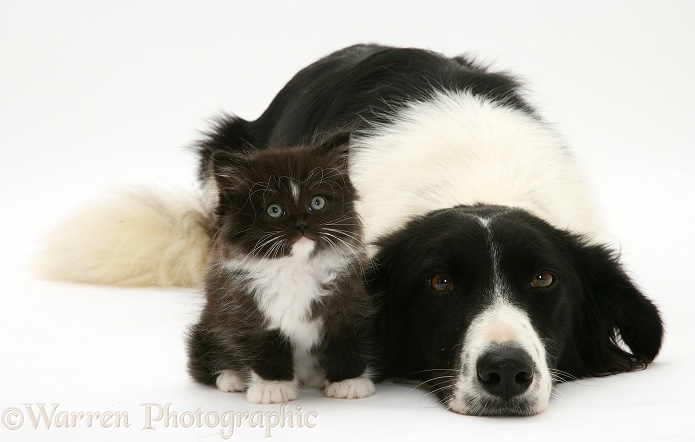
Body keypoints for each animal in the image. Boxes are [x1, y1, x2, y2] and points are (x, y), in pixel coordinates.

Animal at [186, 131, 376, 404]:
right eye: (274, 210)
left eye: (317, 202)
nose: (302, 224)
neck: (295, 268)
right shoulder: (244, 310)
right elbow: (264, 348)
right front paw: (272, 388)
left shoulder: (348, 301)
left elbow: (346, 341)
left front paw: (348, 382)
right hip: (205, 327)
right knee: (204, 362)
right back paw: (232, 378)